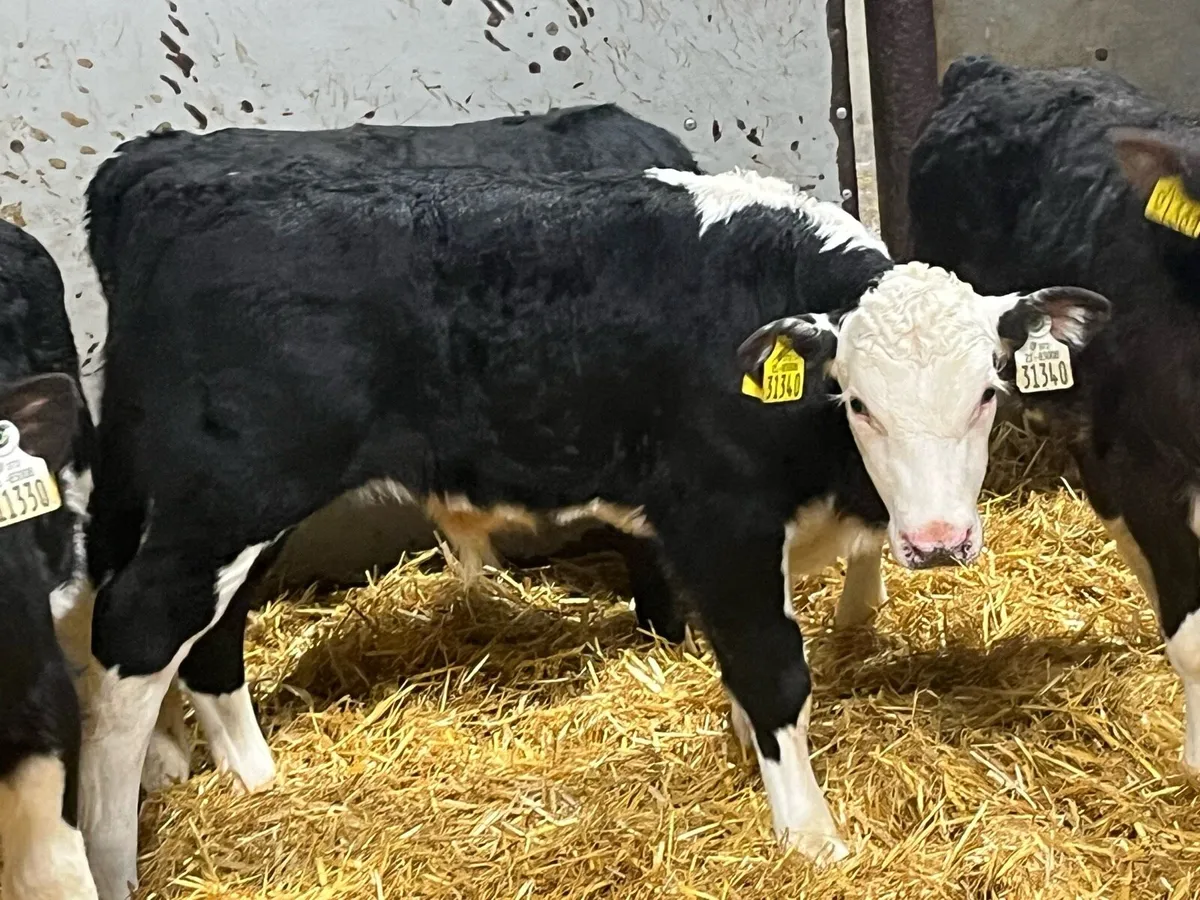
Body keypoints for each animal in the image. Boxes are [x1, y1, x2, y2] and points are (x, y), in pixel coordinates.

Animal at [76, 159, 1109, 899]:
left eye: (988, 391)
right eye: (857, 401)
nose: (937, 539)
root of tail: (177, 187)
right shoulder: (717, 518)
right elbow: (774, 669)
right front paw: (810, 838)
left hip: (243, 505)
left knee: (212, 634)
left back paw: (257, 780)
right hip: (231, 489)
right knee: (135, 631)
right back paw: (111, 861)